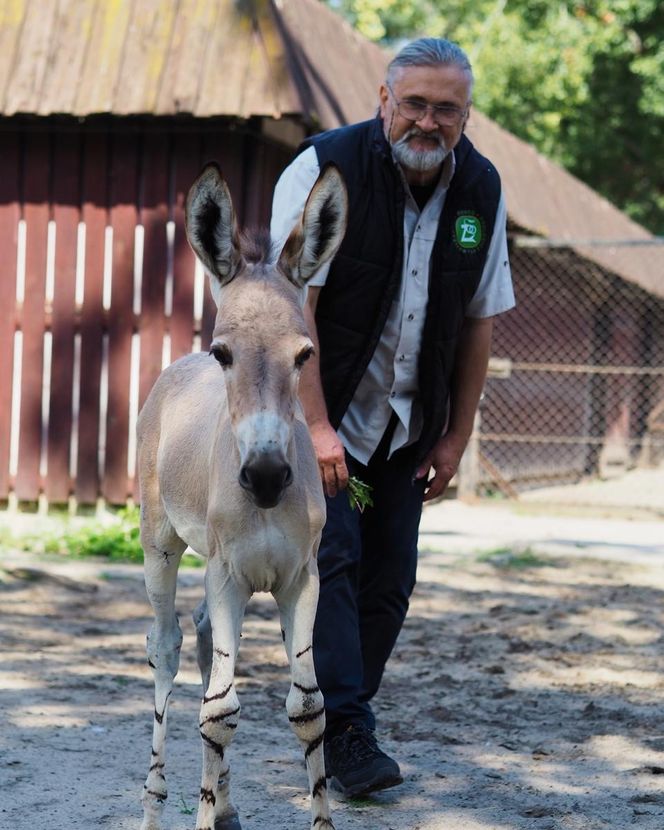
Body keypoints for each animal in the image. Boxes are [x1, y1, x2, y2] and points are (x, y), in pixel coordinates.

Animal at [138, 164, 350, 830]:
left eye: (305, 355)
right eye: (223, 352)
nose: (264, 476)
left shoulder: (300, 579)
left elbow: (308, 706)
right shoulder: (228, 574)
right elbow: (218, 711)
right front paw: (202, 811)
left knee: (207, 641)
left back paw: (225, 803)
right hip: (160, 545)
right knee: (168, 648)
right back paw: (154, 802)